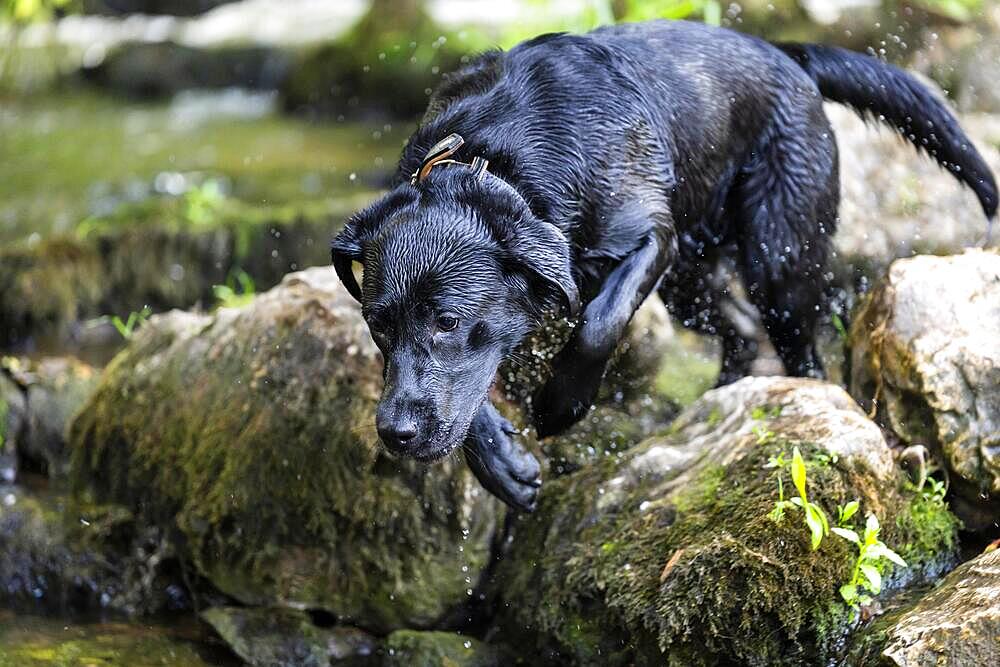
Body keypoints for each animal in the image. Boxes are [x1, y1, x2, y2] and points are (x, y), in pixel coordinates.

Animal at [332, 19, 996, 512]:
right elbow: (461, 398)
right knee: (741, 330)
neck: (490, 160)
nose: (393, 433)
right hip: (690, 286)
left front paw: (560, 405)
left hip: (778, 261)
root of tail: (785, 56)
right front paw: (503, 466)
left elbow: (598, 322)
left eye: (447, 321)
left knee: (799, 350)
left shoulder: (652, 236)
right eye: (378, 325)